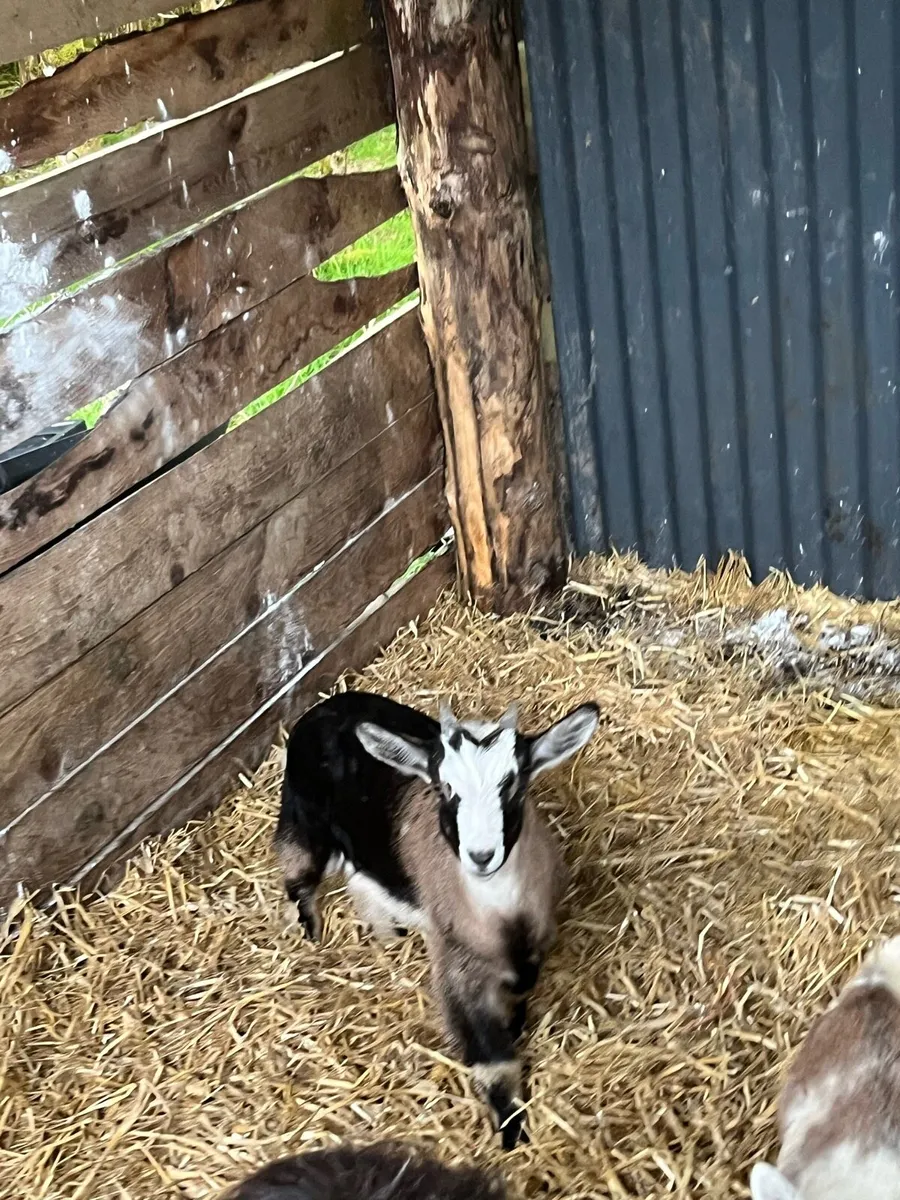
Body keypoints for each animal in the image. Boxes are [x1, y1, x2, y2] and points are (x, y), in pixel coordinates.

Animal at [275, 690, 599, 1148]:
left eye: (513, 784)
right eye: (446, 788)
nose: (481, 856)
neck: (502, 919)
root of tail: (327, 704)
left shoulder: (531, 951)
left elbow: (518, 1000)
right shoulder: (457, 968)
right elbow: (492, 1059)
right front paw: (512, 1132)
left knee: (363, 881)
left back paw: (388, 935)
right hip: (301, 823)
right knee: (298, 876)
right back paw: (311, 932)